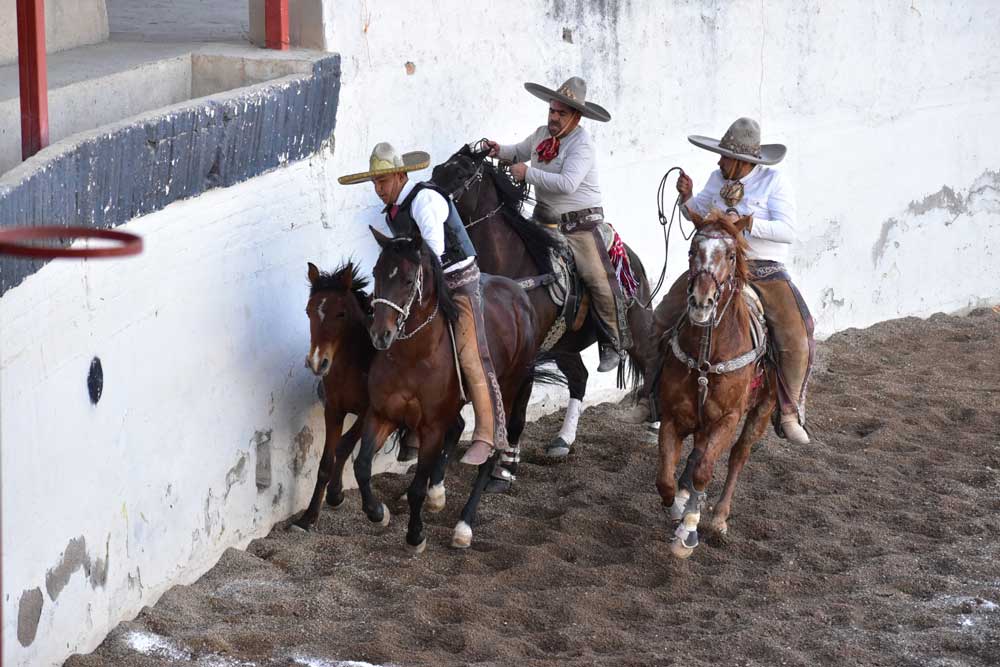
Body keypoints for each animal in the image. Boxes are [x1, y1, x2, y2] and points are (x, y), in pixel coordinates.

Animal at [362, 227, 544, 552]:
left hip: (508, 389)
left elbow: (417, 488)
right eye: (376, 272)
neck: (414, 356)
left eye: (408, 280)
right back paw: (438, 495)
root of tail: (521, 295)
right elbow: (361, 467)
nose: (381, 335)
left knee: (492, 451)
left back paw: (464, 525)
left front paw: (415, 536)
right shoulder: (382, 413)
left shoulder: (432, 427)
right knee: (459, 427)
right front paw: (378, 513)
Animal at [432, 142, 656, 480]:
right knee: (579, 378)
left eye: (460, 173)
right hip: (564, 346)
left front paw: (506, 467)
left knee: (653, 365)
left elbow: (517, 413)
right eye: (436, 169)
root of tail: (632, 257)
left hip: (637, 332)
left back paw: (655, 426)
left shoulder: (526, 359)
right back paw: (563, 441)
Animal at [652, 210, 776, 560]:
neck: (708, 355)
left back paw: (719, 518)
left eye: (731, 255)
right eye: (693, 250)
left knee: (738, 455)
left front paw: (688, 532)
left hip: (763, 408)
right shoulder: (673, 415)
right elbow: (665, 477)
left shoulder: (727, 418)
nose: (701, 302)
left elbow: (705, 471)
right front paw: (677, 507)